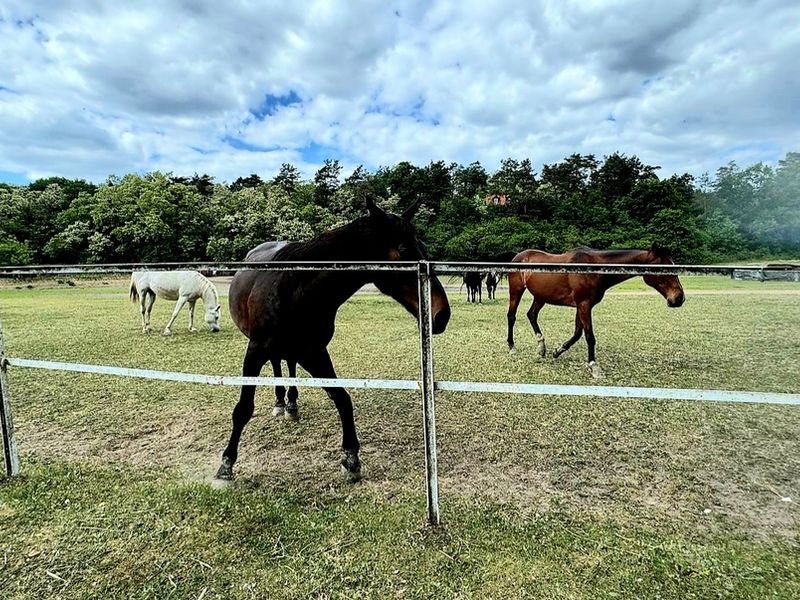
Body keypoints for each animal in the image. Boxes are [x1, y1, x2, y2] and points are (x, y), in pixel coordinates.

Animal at [217, 197, 450, 482]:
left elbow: (342, 398)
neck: (294, 288)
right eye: (404, 248)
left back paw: (290, 403)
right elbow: (243, 409)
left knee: (286, 364)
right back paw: (281, 402)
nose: (442, 314)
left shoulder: (314, 352)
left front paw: (351, 457)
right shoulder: (255, 351)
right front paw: (227, 462)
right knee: (277, 365)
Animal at [506, 243, 688, 376]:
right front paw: (594, 366)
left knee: (532, 315)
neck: (593, 269)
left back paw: (541, 348)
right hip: (516, 291)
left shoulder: (582, 306)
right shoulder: (584, 305)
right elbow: (589, 336)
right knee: (511, 316)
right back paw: (512, 347)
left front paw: (558, 351)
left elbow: (577, 333)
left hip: (540, 297)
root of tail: (518, 256)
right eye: (664, 269)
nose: (679, 298)